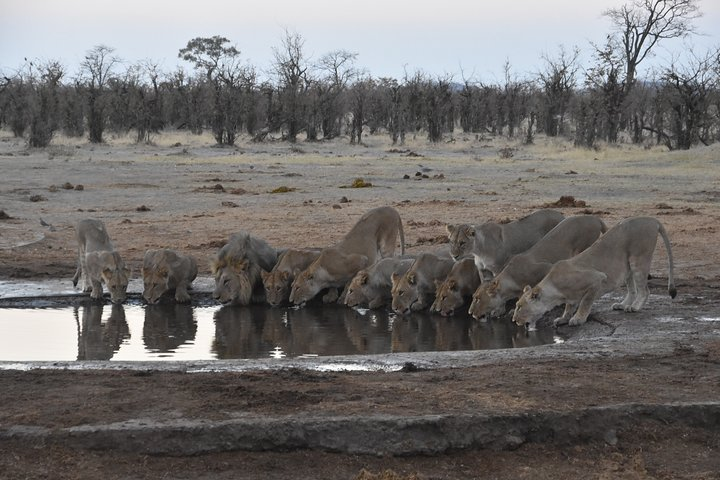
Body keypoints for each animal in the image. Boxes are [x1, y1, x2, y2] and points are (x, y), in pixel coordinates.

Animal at [512, 218, 676, 330]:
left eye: (519, 307)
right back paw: (622, 305)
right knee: (632, 289)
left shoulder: (596, 279)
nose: (514, 321)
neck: (555, 292)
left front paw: (578, 319)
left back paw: (634, 307)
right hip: (627, 265)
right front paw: (563, 318)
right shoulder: (571, 297)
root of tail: (650, 219)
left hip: (638, 258)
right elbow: (569, 306)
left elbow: (585, 302)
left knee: (644, 290)